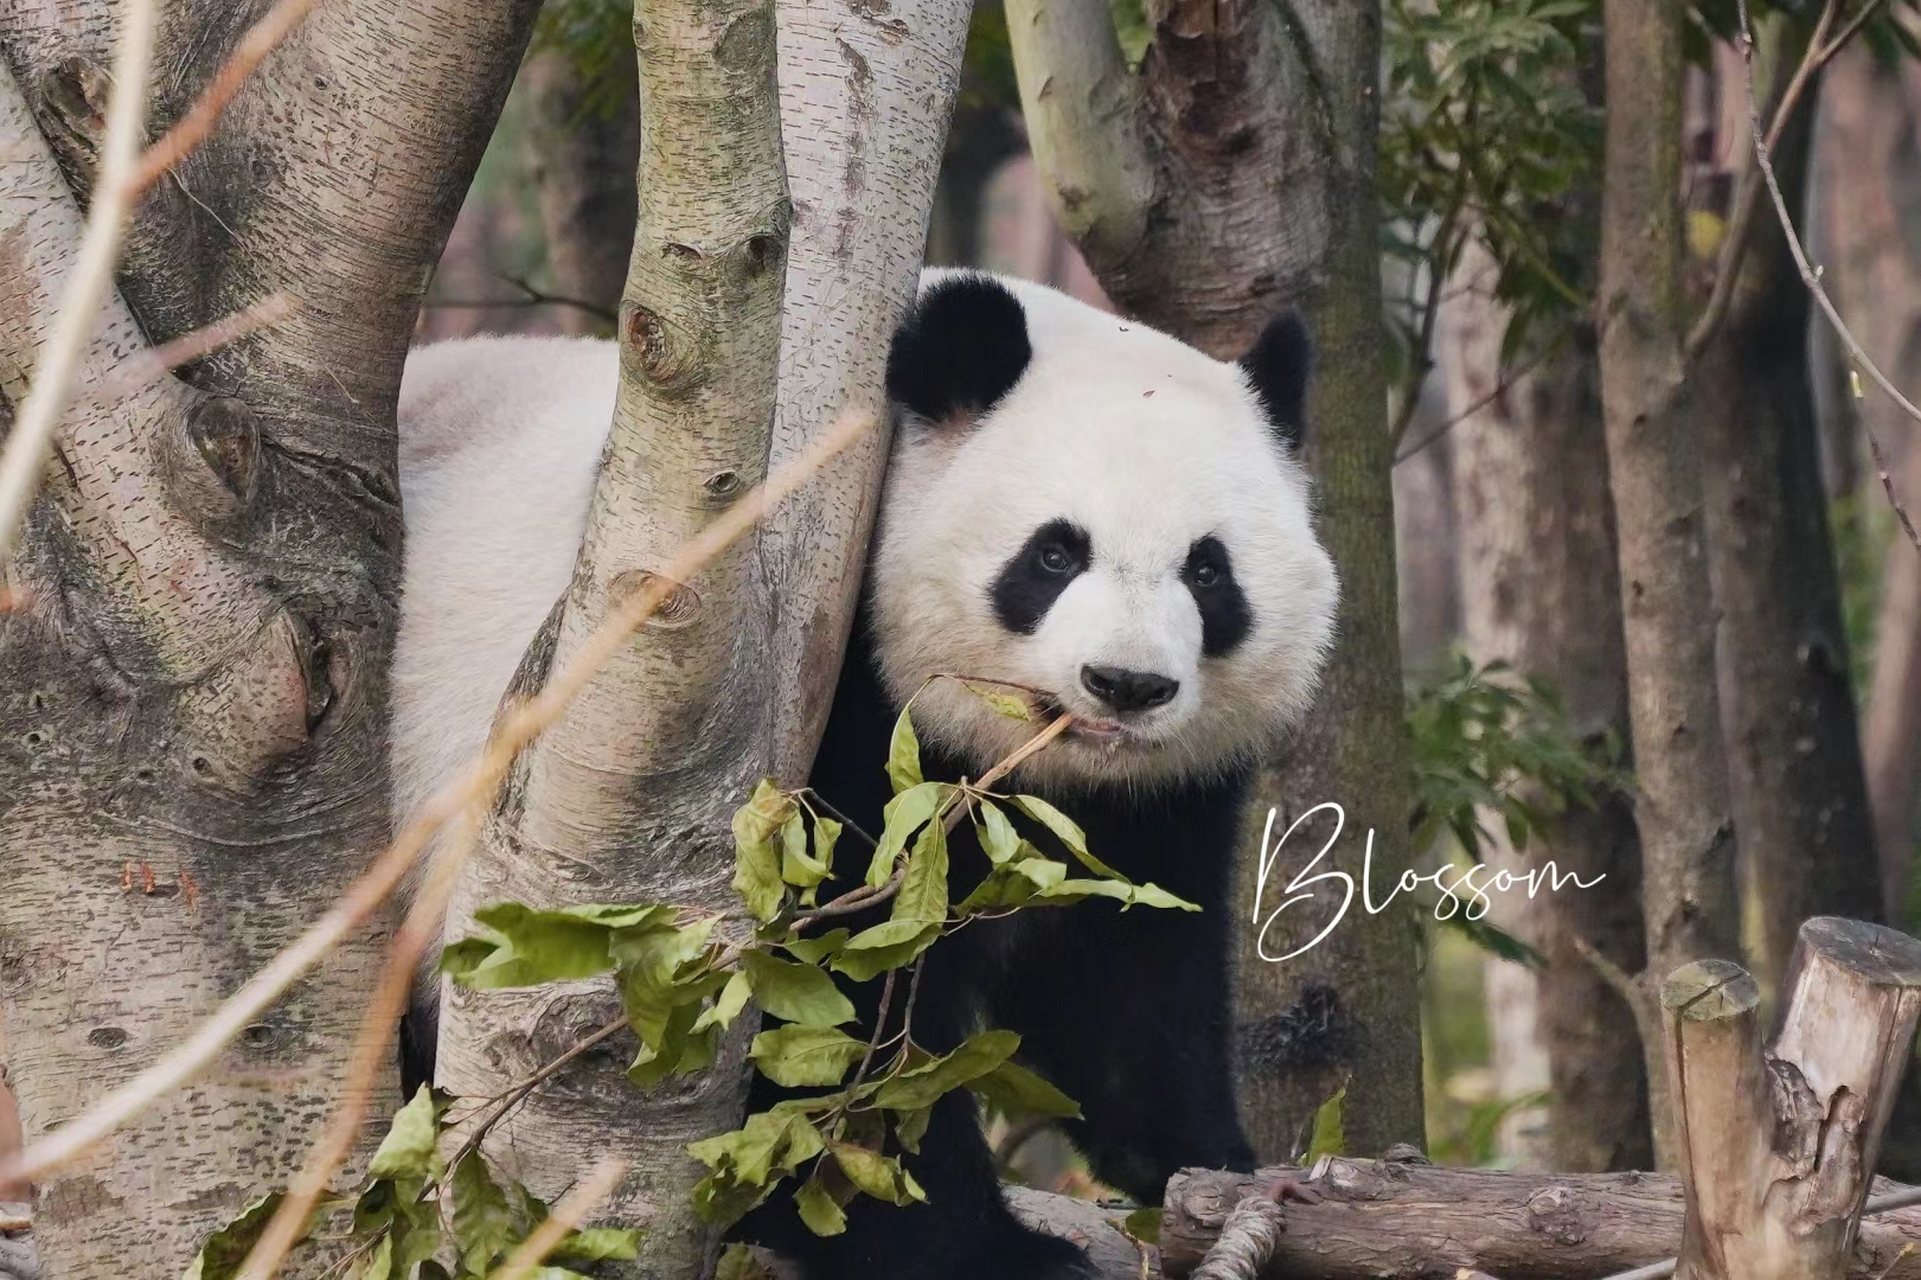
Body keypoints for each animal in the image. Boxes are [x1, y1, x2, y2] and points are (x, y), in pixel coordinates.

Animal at [393, 263, 1337, 1268]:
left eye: (1207, 571)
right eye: (1053, 553)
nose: (1125, 685)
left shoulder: (1157, 801)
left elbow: (1130, 987)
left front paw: (1215, 1173)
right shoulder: (821, 712)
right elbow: (819, 1012)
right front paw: (995, 1252)